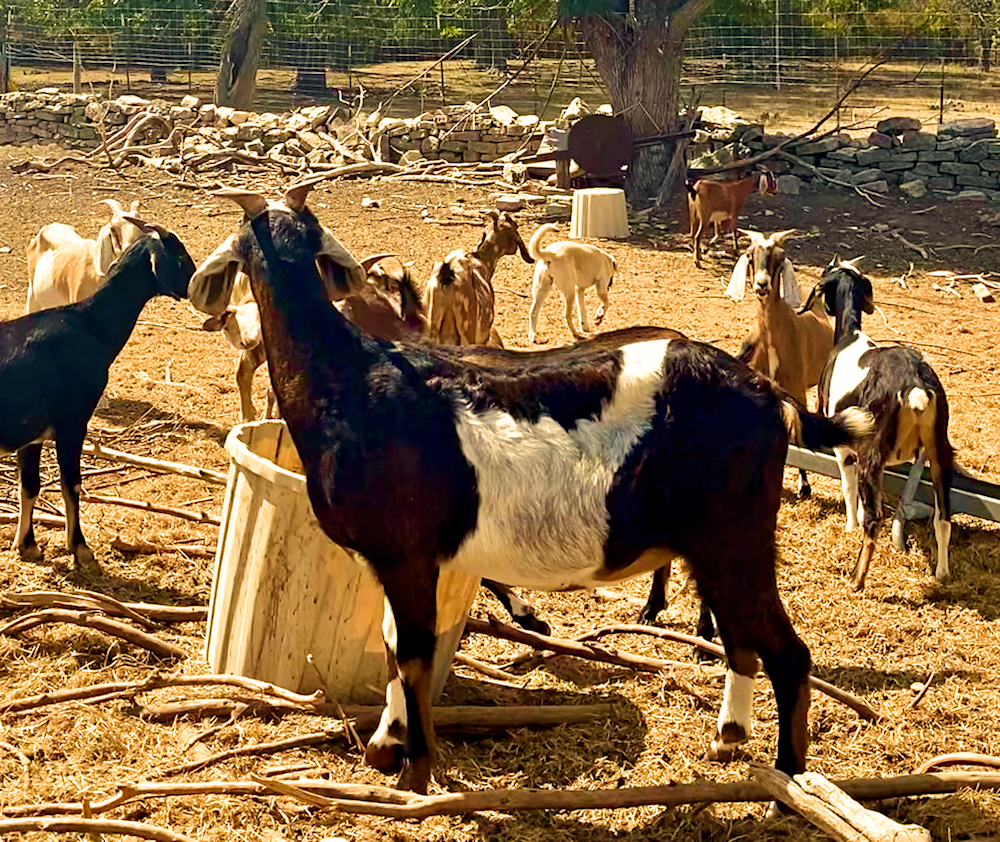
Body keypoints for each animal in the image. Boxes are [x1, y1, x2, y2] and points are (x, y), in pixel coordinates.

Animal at [1, 223, 195, 564]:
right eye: (180, 254)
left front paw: (27, 545)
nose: (194, 283)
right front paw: (80, 547)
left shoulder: (32, 432)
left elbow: (30, 486)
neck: (92, 325)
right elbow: (72, 484)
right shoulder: (72, 421)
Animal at [189, 184, 876, 796]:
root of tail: (770, 394)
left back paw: (790, 779)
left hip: (735, 537)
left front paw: (414, 771)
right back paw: (729, 740)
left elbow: (412, 653)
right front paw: (386, 745)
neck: (349, 381)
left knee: (787, 653)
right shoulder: (403, 559)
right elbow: (389, 644)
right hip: (714, 545)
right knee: (741, 639)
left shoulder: (406, 553)